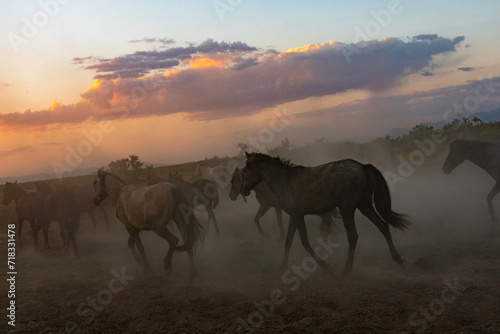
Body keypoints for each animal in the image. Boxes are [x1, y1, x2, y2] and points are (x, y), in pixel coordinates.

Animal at [239, 153, 410, 272]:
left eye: (246, 169)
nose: (243, 190)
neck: (284, 181)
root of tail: (362, 166)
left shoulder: (298, 216)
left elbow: (305, 242)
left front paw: (325, 265)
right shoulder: (294, 216)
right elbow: (288, 241)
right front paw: (282, 267)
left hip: (347, 209)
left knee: (353, 236)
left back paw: (347, 269)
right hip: (365, 206)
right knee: (383, 226)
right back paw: (398, 259)